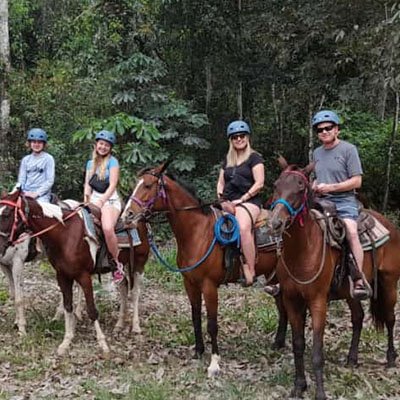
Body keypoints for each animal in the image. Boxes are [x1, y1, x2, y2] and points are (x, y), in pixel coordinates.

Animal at [0, 189, 149, 354]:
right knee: (123, 287)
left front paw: (102, 343)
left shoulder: (83, 276)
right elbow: (67, 306)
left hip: (139, 264)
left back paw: (135, 327)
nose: (0, 246)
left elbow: (92, 309)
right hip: (118, 267)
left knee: (135, 292)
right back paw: (119, 324)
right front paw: (67, 340)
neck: (65, 234)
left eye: (6, 214)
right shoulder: (61, 275)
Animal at [120, 162, 286, 376]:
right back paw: (278, 343)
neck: (198, 232)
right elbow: (196, 317)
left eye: (148, 185)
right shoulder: (189, 283)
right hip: (273, 277)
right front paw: (198, 351)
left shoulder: (209, 286)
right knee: (282, 305)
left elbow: (212, 324)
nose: (127, 215)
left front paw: (214, 362)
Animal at [268, 157, 400, 400]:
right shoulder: (292, 300)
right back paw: (352, 358)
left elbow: (317, 351)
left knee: (389, 318)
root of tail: (389, 225)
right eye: (275, 185)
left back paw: (390, 358)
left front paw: (320, 392)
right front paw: (299, 386)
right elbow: (298, 345)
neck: (302, 250)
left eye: (300, 188)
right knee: (358, 317)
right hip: (350, 292)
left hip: (388, 283)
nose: (275, 223)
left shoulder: (318, 301)